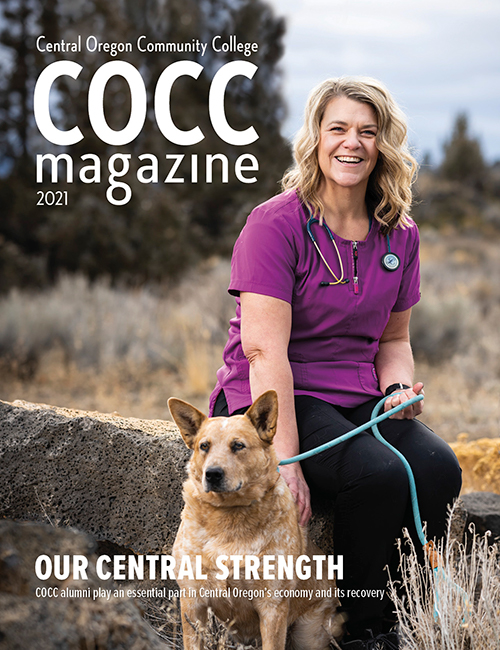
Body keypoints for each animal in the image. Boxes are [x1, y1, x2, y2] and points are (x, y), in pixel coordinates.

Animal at [169, 388, 344, 644]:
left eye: (238, 445)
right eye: (204, 446)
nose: (212, 474)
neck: (229, 516)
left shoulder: (272, 607)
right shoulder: (193, 603)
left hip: (308, 633)